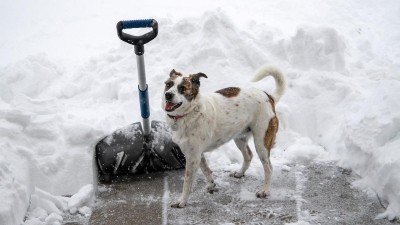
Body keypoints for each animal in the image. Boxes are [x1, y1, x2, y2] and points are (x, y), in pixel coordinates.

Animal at [162, 66, 288, 207]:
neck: (190, 112)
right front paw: (211, 185)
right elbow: (206, 170)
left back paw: (264, 190)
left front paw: (182, 201)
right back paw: (240, 173)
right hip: (240, 138)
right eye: (168, 84)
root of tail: (269, 96)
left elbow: (187, 182)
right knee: (248, 155)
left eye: (182, 88)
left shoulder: (193, 157)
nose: (168, 95)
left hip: (262, 143)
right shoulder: (196, 154)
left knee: (269, 168)